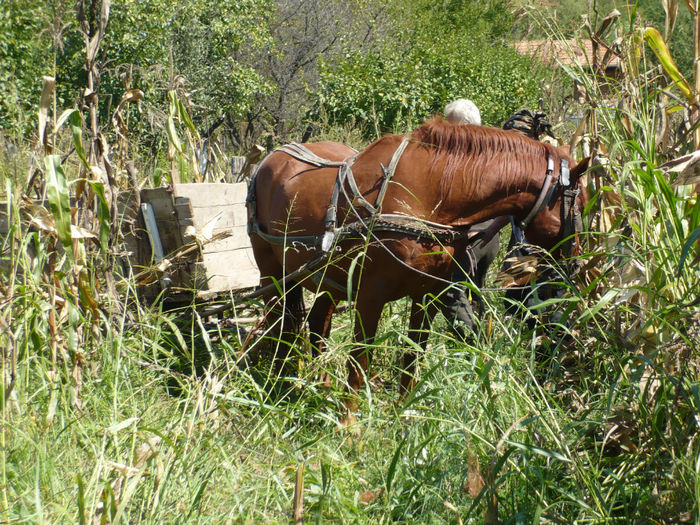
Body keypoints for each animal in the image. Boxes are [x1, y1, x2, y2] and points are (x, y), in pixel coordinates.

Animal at [249, 118, 588, 422]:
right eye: (580, 205)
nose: (575, 265)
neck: (429, 196)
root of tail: (271, 158)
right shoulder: (370, 298)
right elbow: (359, 360)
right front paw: (350, 427)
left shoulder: (427, 296)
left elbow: (413, 358)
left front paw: (403, 415)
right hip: (272, 273)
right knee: (281, 324)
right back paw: (279, 383)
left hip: (328, 277)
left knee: (317, 324)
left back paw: (320, 384)